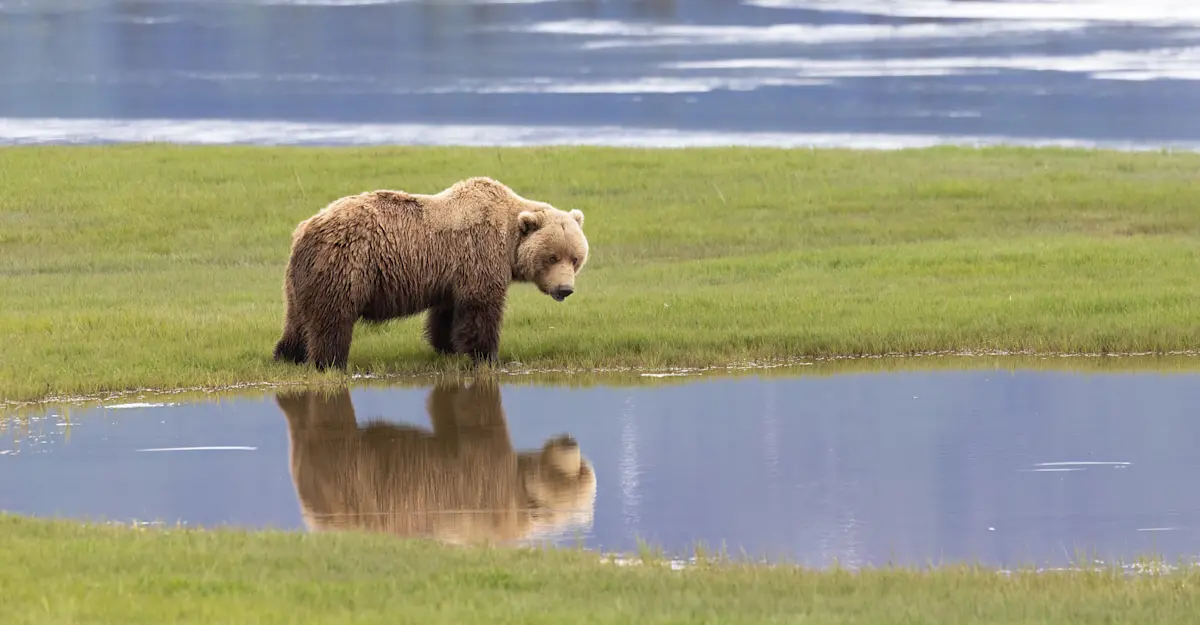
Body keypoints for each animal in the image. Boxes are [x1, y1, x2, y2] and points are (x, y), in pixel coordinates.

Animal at [272, 176, 590, 371]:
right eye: (552, 257)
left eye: (575, 258)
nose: (565, 289)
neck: (509, 240)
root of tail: (306, 228)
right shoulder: (480, 256)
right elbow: (481, 309)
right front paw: (487, 356)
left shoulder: (451, 274)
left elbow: (446, 313)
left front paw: (447, 347)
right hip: (346, 265)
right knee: (333, 320)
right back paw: (329, 362)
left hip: (300, 278)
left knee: (297, 319)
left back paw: (288, 355)